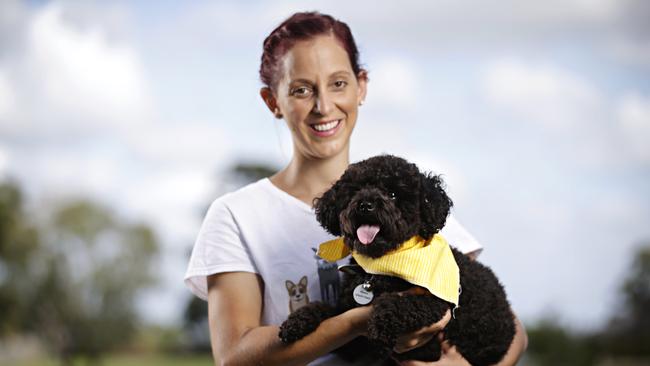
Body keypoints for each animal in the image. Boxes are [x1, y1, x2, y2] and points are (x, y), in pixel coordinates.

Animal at [280, 155, 512, 366]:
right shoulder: (350, 340)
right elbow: (325, 310)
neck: (378, 269)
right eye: (355, 190)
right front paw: (297, 321)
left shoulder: (434, 317)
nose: (365, 205)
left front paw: (381, 323)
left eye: (392, 194)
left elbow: (404, 303)